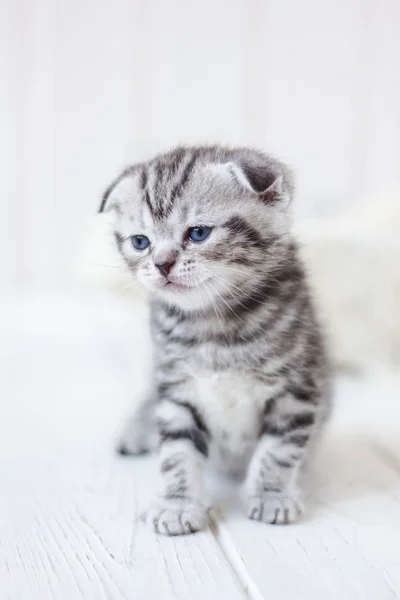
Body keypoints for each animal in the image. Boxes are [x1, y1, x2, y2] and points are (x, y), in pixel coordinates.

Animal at [100, 144, 332, 536]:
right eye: (141, 242)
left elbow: (279, 450)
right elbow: (177, 454)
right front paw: (177, 503)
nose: (161, 264)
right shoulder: (176, 390)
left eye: (197, 234)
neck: (214, 325)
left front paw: (271, 495)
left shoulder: (296, 390)